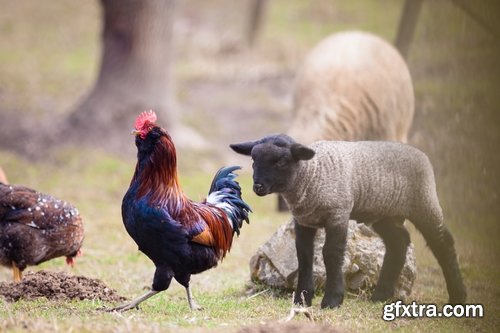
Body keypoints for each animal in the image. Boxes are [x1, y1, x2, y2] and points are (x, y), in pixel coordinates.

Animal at [232, 134, 466, 308]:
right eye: (253, 160)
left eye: (281, 161)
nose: (258, 187)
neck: (312, 174)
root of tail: (420, 154)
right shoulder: (304, 220)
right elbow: (304, 255)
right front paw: (302, 299)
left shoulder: (338, 214)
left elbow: (331, 253)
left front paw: (332, 300)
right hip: (384, 213)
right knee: (399, 242)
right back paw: (380, 295)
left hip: (424, 203)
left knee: (443, 243)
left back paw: (458, 297)